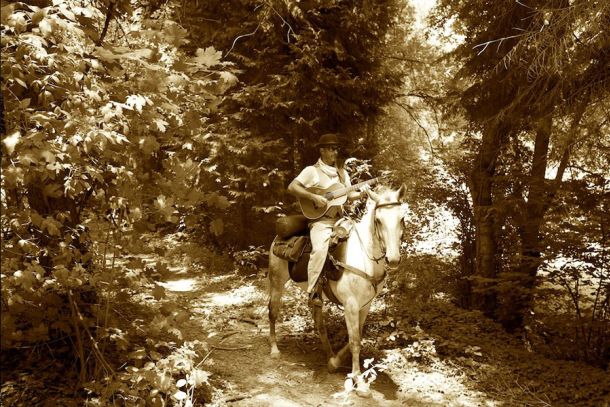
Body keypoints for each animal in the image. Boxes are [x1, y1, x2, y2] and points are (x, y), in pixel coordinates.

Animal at [268, 184, 406, 397]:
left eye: (402, 218)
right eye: (378, 220)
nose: (393, 259)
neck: (365, 257)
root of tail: (279, 233)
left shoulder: (365, 305)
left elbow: (356, 338)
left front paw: (335, 363)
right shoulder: (350, 305)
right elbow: (355, 341)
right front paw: (359, 381)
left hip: (315, 296)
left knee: (319, 324)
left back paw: (329, 356)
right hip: (277, 282)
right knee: (272, 312)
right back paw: (274, 350)